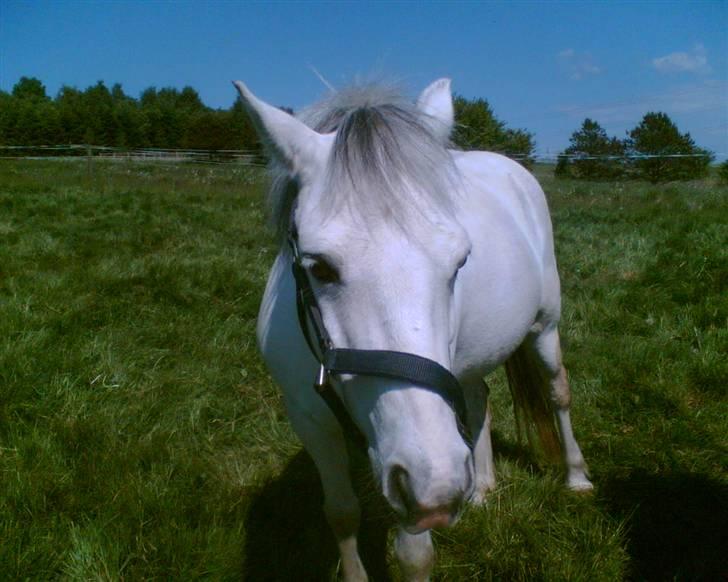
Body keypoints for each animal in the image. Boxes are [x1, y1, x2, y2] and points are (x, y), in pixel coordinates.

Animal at [234, 78, 593, 581]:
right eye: (319, 267)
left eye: (460, 260)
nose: (442, 485)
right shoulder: (311, 420)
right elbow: (341, 513)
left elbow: (413, 554)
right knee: (479, 397)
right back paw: (483, 487)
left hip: (545, 326)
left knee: (558, 392)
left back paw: (575, 477)